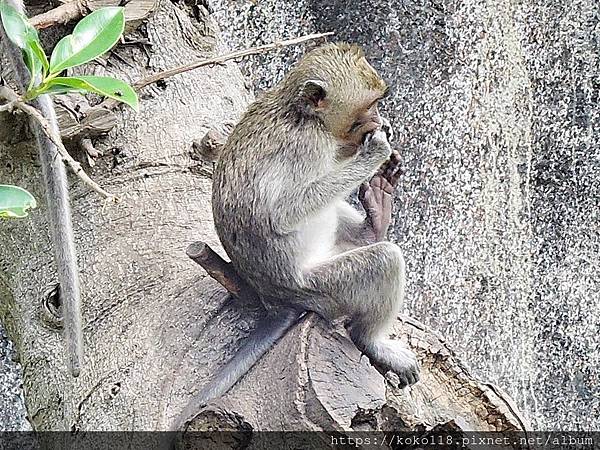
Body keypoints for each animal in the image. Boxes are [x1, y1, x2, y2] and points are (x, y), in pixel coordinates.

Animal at [171, 44, 420, 430]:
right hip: (319, 288)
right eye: (370, 106)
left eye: (379, 102)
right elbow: (283, 212)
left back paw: (374, 221)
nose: (383, 122)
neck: (304, 116)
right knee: (382, 260)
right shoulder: (306, 147)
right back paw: (372, 340)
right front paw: (374, 151)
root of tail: (276, 300)